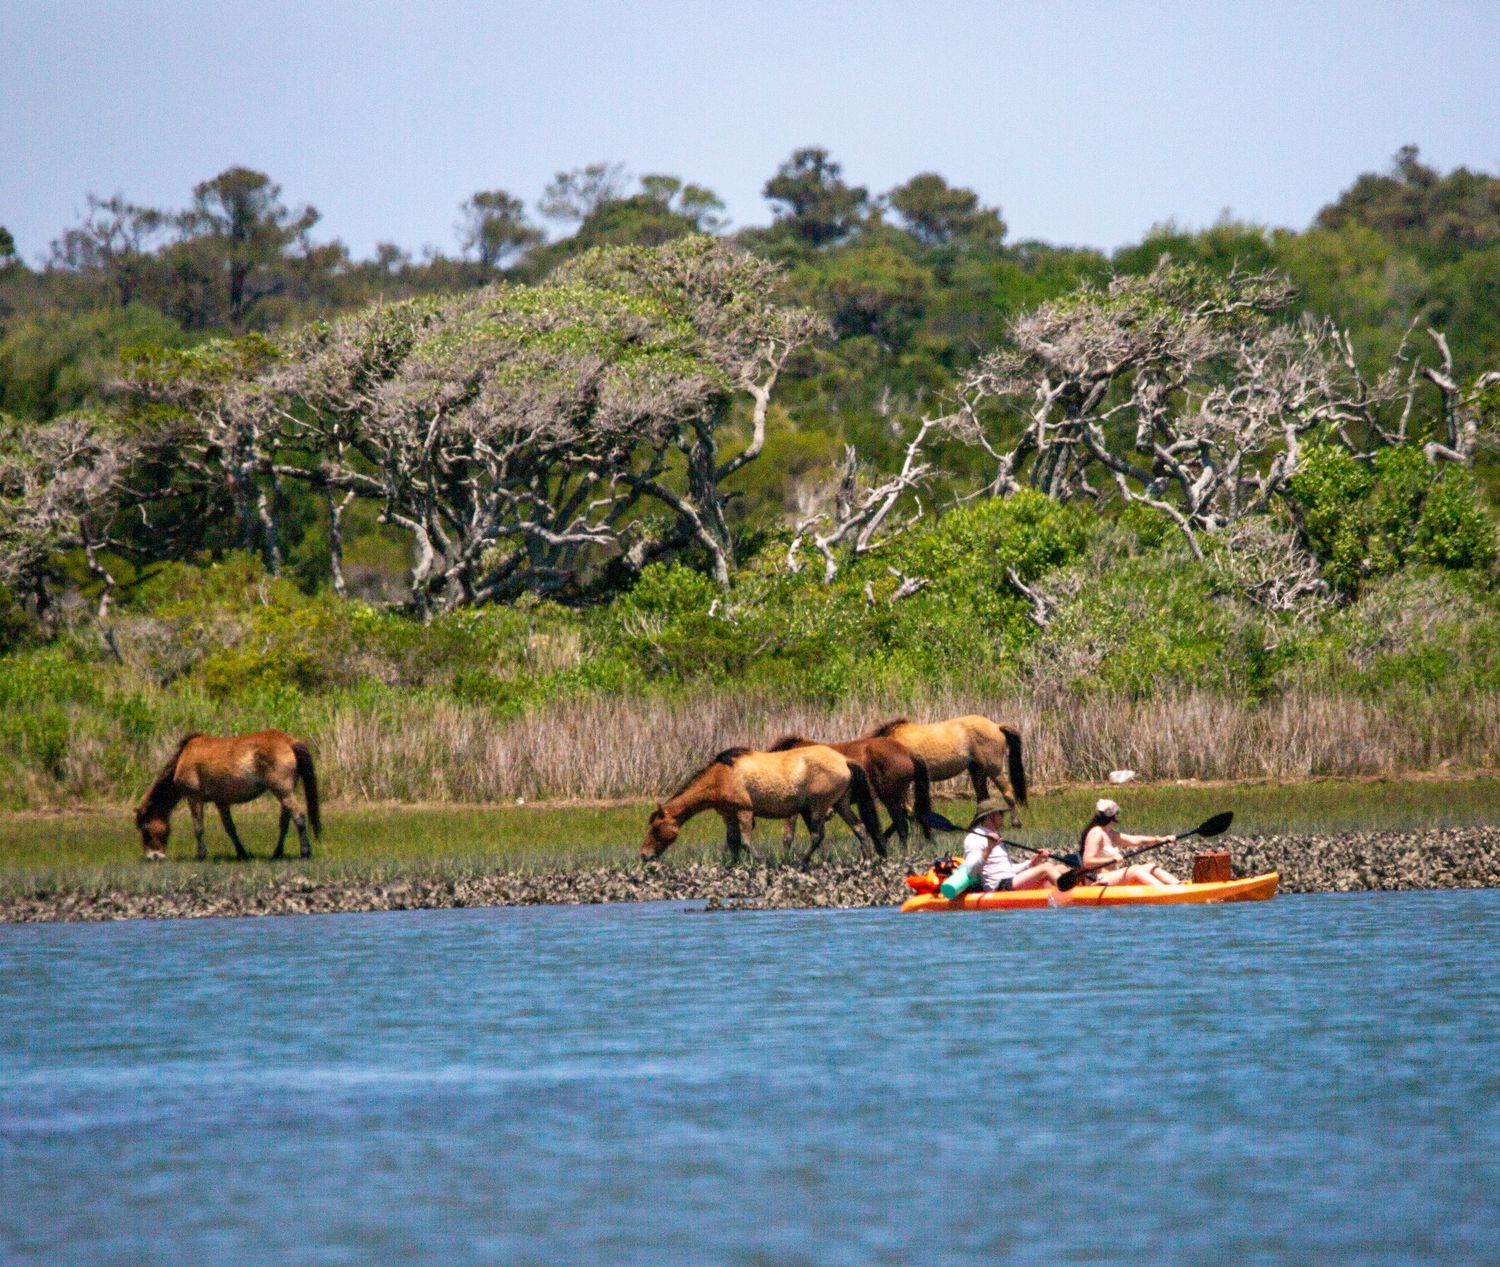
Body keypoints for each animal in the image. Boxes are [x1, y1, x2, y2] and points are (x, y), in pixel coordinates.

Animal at [134, 730, 322, 861]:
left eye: (145, 830)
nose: (153, 857)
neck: (185, 756)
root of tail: (289, 741)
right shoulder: (221, 802)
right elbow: (230, 828)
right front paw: (242, 853)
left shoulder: (194, 798)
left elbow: (199, 827)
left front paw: (201, 855)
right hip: (284, 793)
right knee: (284, 822)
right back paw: (277, 853)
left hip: (283, 792)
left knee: (299, 816)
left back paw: (305, 852)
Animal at [641, 744, 885, 866]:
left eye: (655, 828)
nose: (644, 855)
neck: (720, 776)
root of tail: (844, 760)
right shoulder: (728, 814)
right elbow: (732, 842)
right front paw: (732, 866)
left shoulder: (744, 811)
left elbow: (746, 842)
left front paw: (762, 861)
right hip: (841, 804)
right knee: (859, 828)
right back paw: (866, 860)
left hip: (818, 807)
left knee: (818, 836)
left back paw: (801, 862)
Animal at [864, 715, 1027, 825]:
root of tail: (996, 726)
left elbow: (907, 806)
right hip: (977, 771)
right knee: (983, 798)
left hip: (993, 769)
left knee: (1007, 792)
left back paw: (1016, 822)